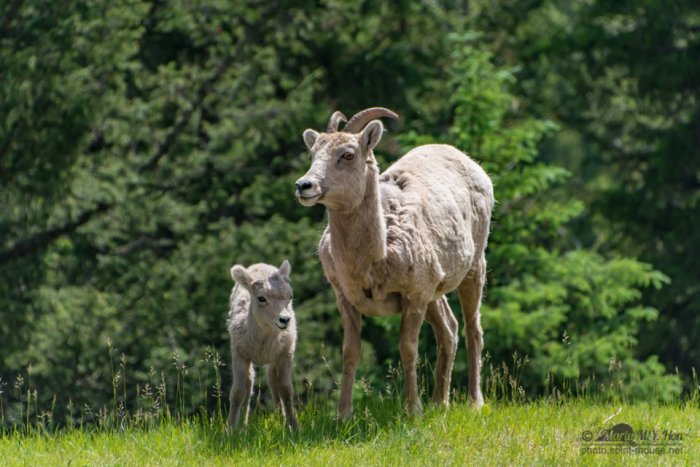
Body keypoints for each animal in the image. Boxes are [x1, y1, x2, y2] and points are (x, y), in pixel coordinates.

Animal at [227, 260, 298, 430]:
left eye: (290, 297)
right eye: (261, 298)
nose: (285, 320)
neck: (262, 346)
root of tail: (261, 264)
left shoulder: (285, 354)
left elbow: (286, 390)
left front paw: (294, 427)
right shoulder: (239, 355)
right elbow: (237, 393)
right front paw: (229, 429)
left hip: (273, 360)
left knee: (272, 382)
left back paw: (281, 419)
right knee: (249, 384)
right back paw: (243, 424)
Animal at [294, 108, 494, 418]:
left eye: (348, 154)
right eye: (312, 153)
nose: (304, 186)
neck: (376, 256)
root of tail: (474, 167)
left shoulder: (414, 297)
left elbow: (408, 349)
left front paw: (413, 410)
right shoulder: (347, 298)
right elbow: (350, 353)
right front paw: (343, 415)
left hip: (473, 270)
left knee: (473, 330)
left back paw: (474, 402)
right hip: (435, 293)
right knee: (449, 330)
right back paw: (440, 403)